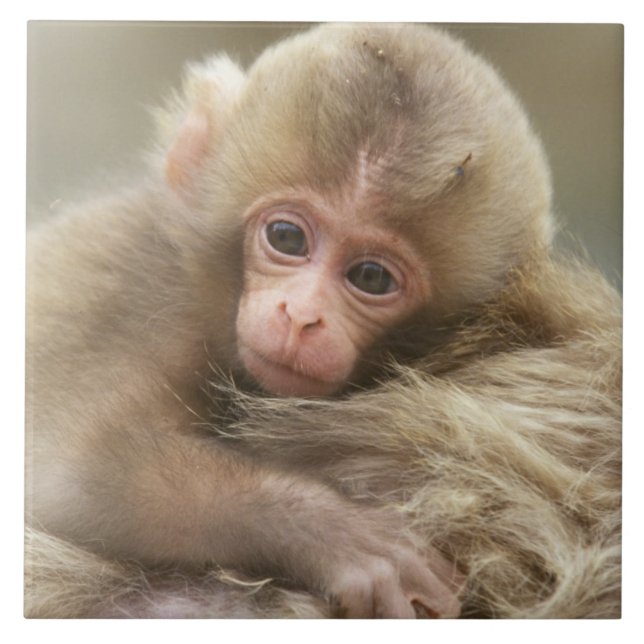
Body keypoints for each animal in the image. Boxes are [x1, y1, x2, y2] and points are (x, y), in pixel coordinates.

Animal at [24, 24, 621, 619]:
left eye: (371, 277)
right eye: (287, 238)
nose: (301, 317)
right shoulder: (142, 293)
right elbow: (76, 471)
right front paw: (342, 537)